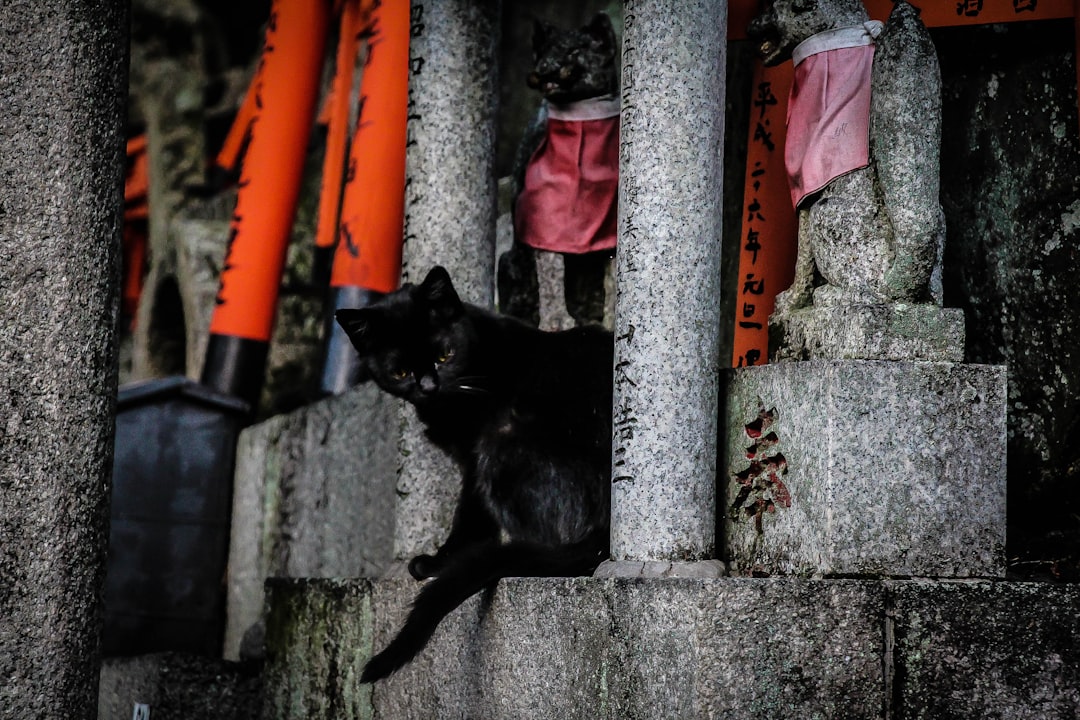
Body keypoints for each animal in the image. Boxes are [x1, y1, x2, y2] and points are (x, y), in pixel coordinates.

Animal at [334, 264, 609, 682]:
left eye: (444, 354)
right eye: (400, 370)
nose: (428, 386)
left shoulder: (475, 458)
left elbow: (469, 517)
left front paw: (439, 561)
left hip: (501, 440)